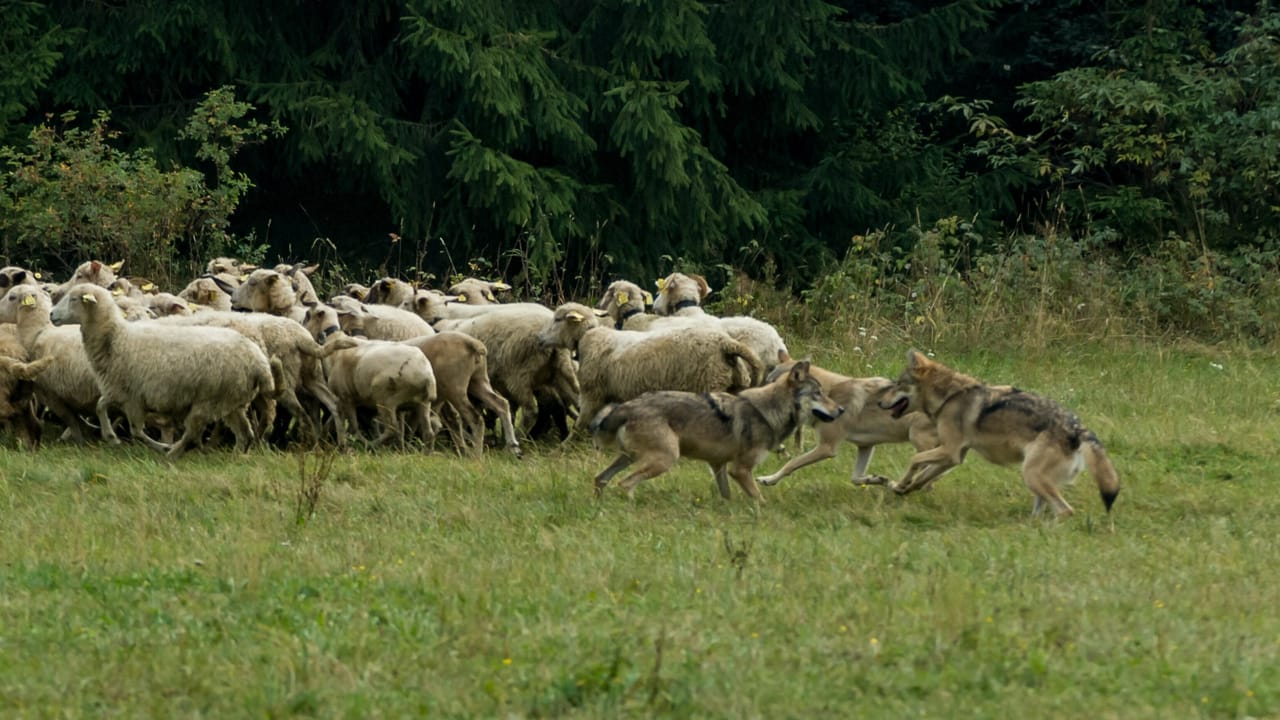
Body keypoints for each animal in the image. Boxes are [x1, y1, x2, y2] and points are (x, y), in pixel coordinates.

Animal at [50, 284, 282, 457]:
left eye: (74, 299)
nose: (51, 315)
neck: (116, 339)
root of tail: (259, 362)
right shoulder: (118, 391)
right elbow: (100, 407)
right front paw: (111, 437)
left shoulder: (134, 398)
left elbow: (136, 431)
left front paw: (159, 446)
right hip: (232, 400)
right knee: (244, 433)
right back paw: (236, 456)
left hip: (208, 401)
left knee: (193, 433)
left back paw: (172, 453)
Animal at [302, 303, 437, 447]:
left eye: (308, 315)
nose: (301, 326)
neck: (334, 339)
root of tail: (427, 376)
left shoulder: (346, 398)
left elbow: (354, 428)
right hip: (422, 403)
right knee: (427, 434)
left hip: (385, 399)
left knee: (391, 429)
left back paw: (371, 444)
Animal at [536, 302, 765, 434]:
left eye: (558, 319)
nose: (539, 338)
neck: (588, 337)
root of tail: (725, 343)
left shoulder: (593, 394)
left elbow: (581, 423)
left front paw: (567, 447)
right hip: (734, 386)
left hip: (710, 384)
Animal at [589, 361, 844, 500]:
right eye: (818, 394)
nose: (841, 410)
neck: (769, 411)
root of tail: (625, 407)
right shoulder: (739, 470)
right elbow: (760, 500)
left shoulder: (718, 465)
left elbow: (727, 497)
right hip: (664, 460)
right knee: (625, 483)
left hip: (630, 458)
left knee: (600, 479)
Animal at [878, 350, 1120, 516]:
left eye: (898, 384)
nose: (879, 403)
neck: (948, 396)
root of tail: (1078, 429)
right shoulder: (955, 457)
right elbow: (923, 476)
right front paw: (901, 488)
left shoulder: (949, 451)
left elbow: (914, 460)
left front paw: (901, 483)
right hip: (1035, 482)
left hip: (1031, 475)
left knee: (1065, 511)